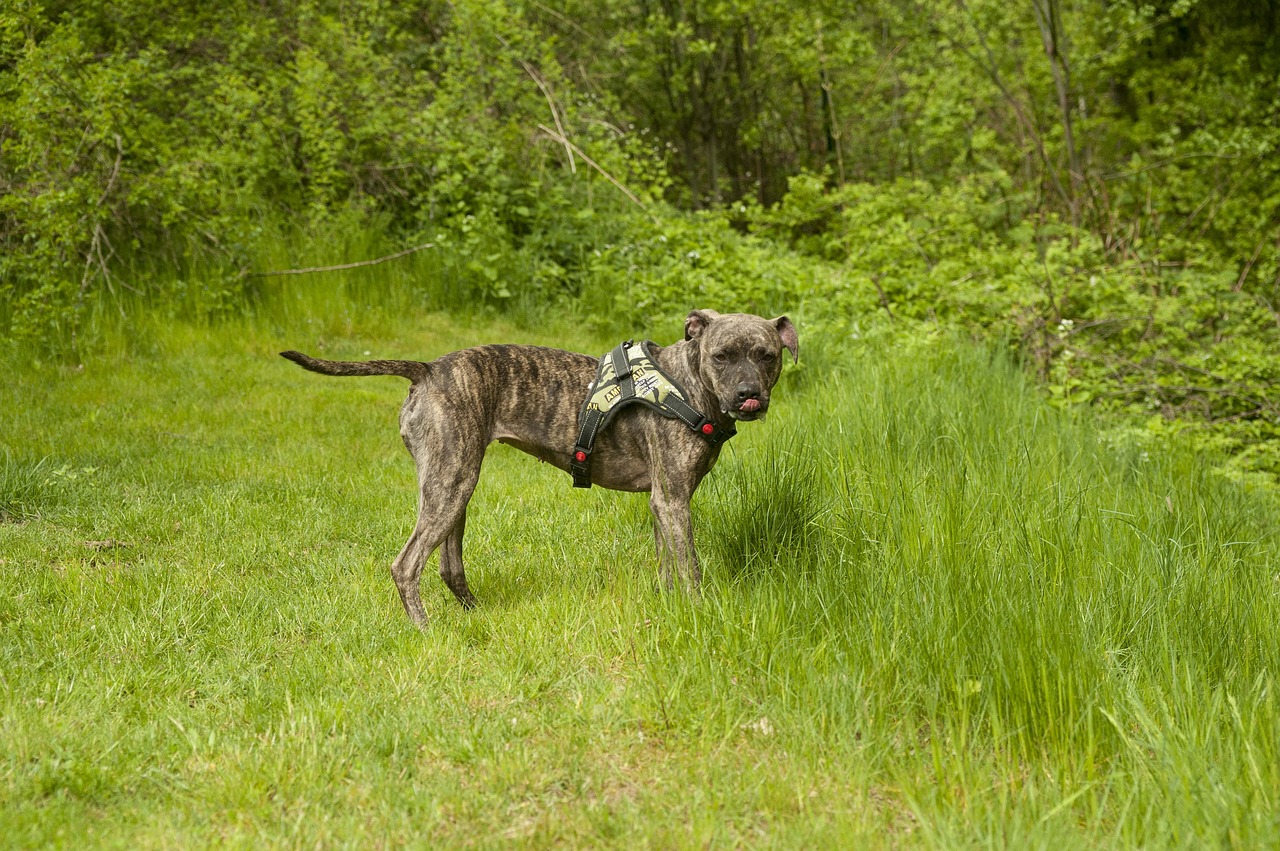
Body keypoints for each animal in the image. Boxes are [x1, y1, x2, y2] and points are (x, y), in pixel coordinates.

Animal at [285, 308, 793, 627]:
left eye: (767, 356)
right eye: (721, 356)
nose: (749, 394)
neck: (685, 386)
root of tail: (427, 369)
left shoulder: (663, 504)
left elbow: (668, 565)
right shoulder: (672, 501)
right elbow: (690, 568)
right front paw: (698, 613)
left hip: (455, 486)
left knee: (449, 566)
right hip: (450, 484)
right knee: (406, 565)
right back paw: (424, 629)